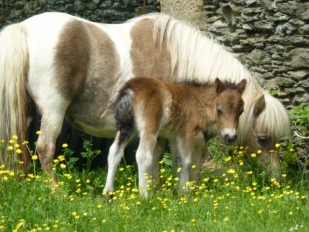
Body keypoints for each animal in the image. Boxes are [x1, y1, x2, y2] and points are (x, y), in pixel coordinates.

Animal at [0, 11, 288, 179]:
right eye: (263, 139)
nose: (277, 177)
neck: (179, 60)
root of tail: (23, 28)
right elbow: (168, 157)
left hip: (27, 112)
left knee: (21, 146)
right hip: (53, 110)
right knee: (44, 148)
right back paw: (56, 192)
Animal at [103, 76, 245, 196]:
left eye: (241, 111)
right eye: (219, 110)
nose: (230, 137)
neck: (197, 101)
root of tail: (129, 89)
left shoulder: (174, 137)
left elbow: (178, 161)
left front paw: (179, 191)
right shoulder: (188, 132)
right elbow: (186, 161)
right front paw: (185, 192)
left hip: (127, 127)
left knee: (114, 151)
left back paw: (108, 194)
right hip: (149, 127)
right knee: (143, 156)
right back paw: (145, 196)